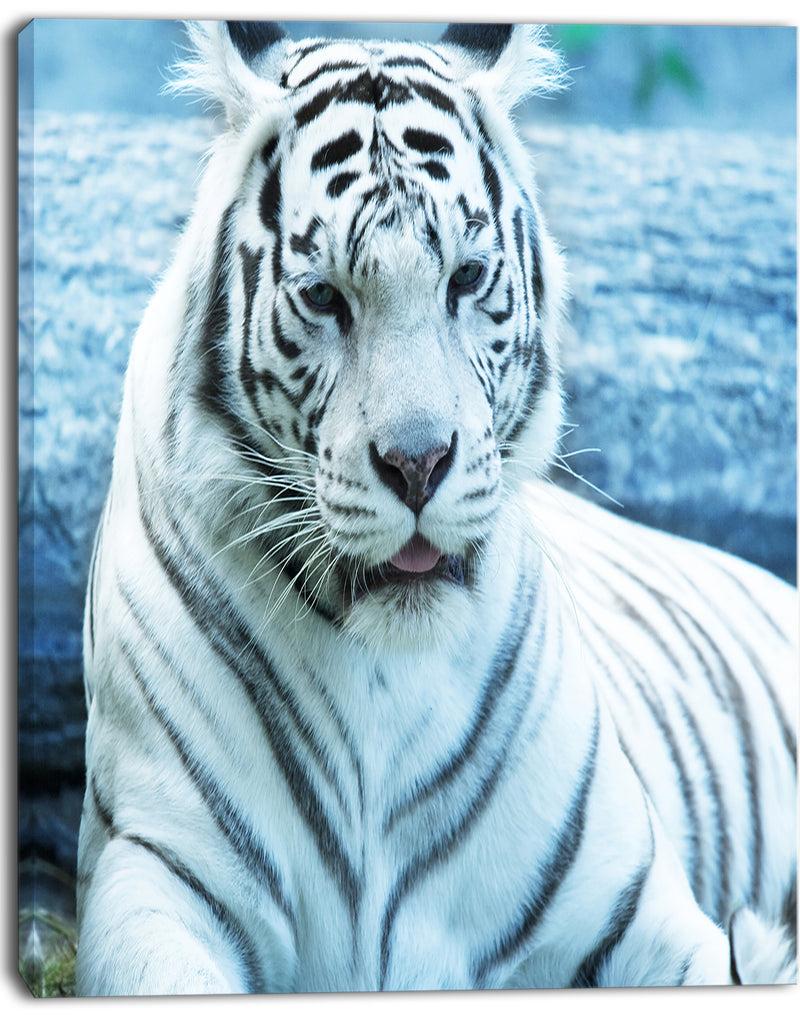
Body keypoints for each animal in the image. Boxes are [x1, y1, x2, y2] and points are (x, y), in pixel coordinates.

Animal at [75, 20, 797, 995]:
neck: (384, 671)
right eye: (324, 296)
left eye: (467, 277)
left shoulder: (633, 910)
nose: (418, 465)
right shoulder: (160, 865)